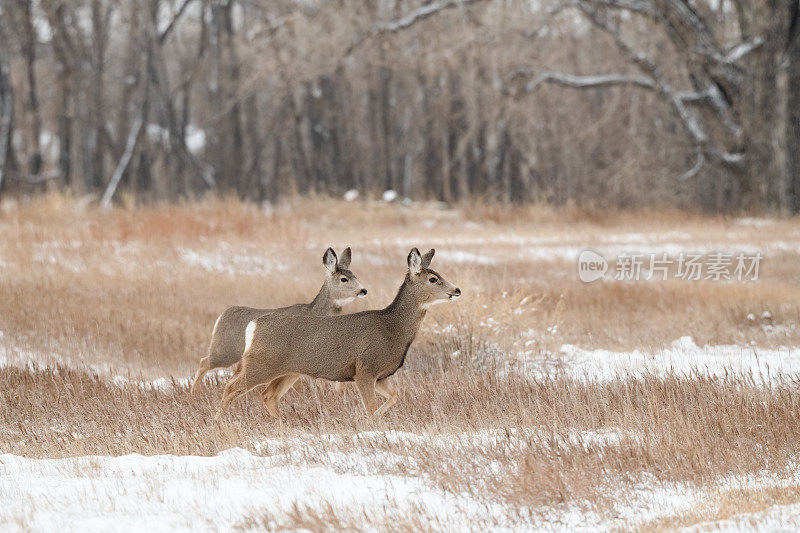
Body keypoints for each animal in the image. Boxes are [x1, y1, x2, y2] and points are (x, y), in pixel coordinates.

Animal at [192, 247, 368, 392]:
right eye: (344, 279)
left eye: (355, 275)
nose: (363, 290)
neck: (317, 312)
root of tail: (221, 315)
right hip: (225, 350)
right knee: (203, 362)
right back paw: (194, 393)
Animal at [217, 247, 462, 418]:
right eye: (433, 279)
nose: (457, 290)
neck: (393, 329)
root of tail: (254, 324)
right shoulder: (365, 369)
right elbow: (370, 407)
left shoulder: (381, 376)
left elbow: (394, 396)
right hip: (261, 364)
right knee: (231, 387)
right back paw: (219, 421)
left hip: (289, 371)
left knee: (268, 395)